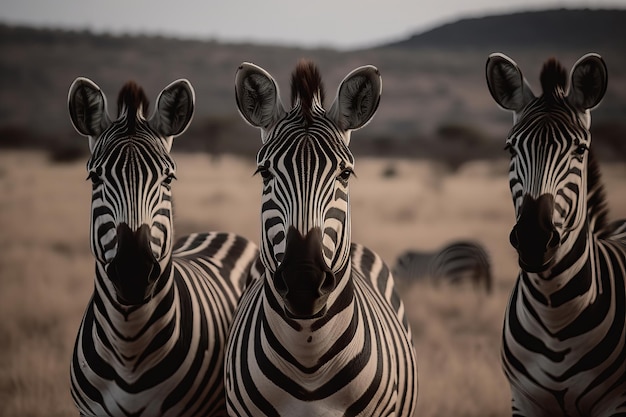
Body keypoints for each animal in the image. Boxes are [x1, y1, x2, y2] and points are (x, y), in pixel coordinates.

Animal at [486, 52, 624, 416]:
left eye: (580, 150)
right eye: (510, 149)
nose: (533, 241)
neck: (555, 317)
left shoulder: (615, 403)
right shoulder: (524, 401)